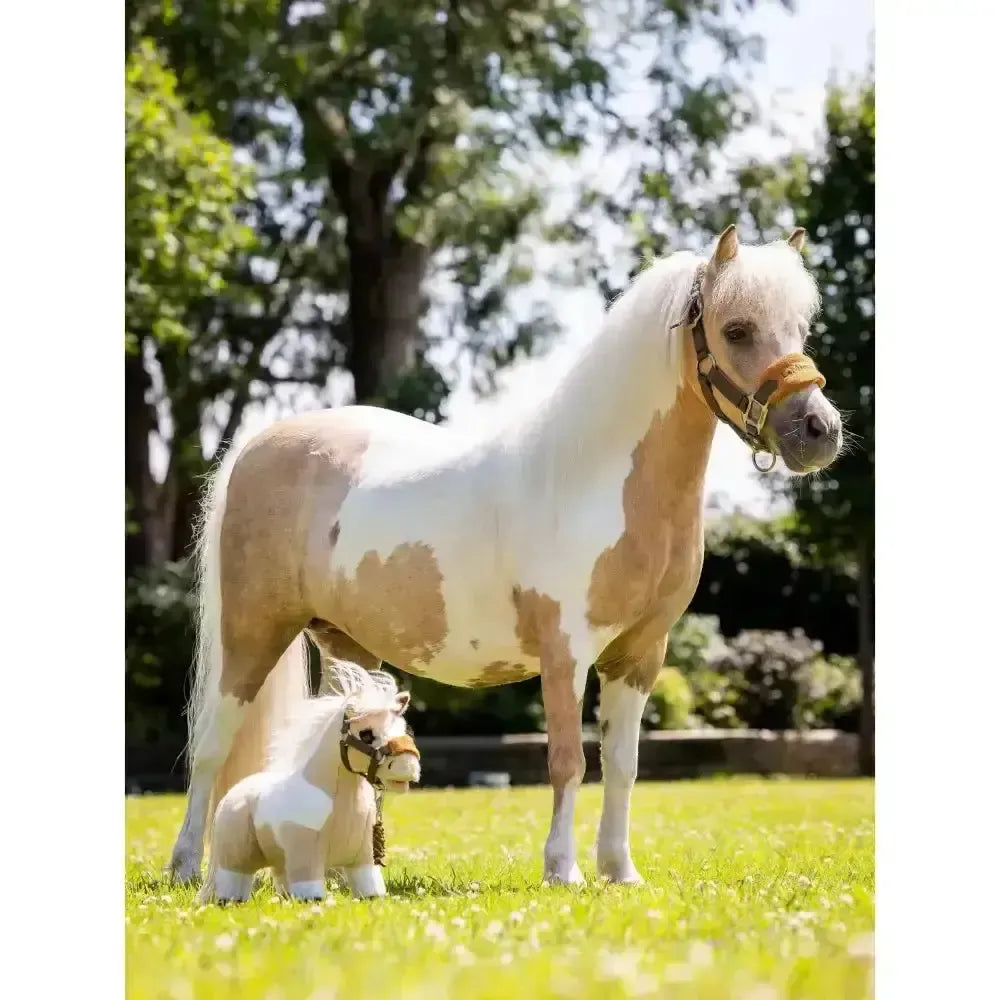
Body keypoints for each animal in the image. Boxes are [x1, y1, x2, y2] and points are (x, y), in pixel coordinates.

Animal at [197, 663, 420, 903]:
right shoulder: (305, 854)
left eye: (403, 728)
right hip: (236, 857)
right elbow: (310, 890)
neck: (340, 799)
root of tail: (234, 792)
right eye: (366, 734)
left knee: (282, 880)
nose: (409, 768)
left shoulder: (363, 859)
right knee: (234, 880)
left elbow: (370, 889)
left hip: (280, 859)